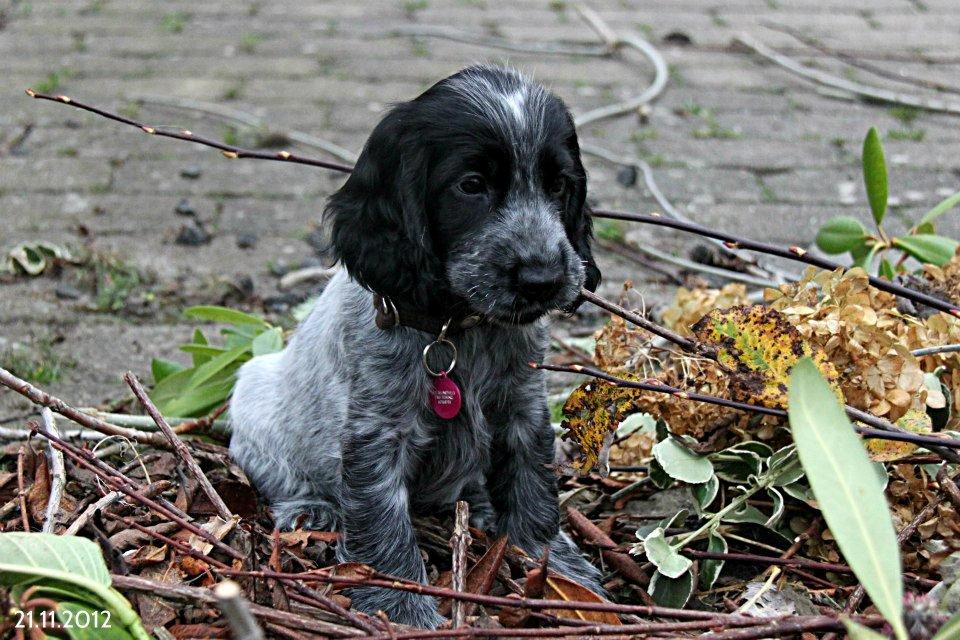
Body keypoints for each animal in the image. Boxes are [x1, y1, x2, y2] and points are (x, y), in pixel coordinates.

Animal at [230, 66, 604, 632]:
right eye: (471, 186)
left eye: (559, 186)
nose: (543, 279)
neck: (456, 326)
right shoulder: (378, 431)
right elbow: (382, 516)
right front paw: (400, 600)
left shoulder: (524, 407)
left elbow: (533, 484)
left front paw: (556, 565)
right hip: (253, 394)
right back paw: (311, 509)